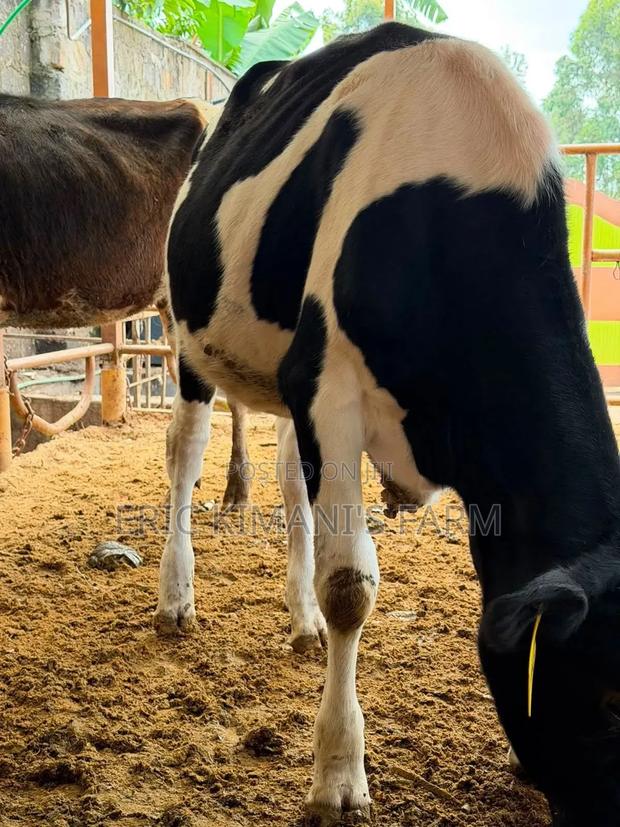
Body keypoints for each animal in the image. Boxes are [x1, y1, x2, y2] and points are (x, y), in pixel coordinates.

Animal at [158, 22, 620, 827]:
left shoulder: (314, 389)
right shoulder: (328, 383)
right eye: (612, 702)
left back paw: (301, 618)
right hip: (189, 337)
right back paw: (175, 596)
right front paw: (339, 775)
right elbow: (352, 587)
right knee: (185, 454)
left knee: (289, 483)